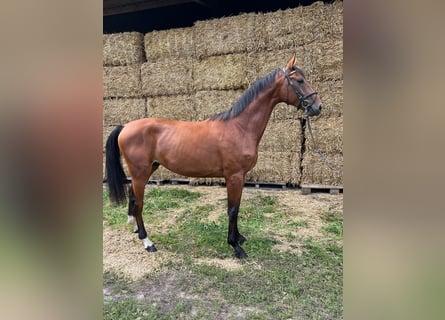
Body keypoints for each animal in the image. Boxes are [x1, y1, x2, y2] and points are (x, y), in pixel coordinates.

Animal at [106, 54, 320, 260]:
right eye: (300, 80)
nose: (318, 107)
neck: (239, 127)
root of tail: (125, 126)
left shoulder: (240, 177)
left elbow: (237, 207)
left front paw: (239, 238)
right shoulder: (234, 176)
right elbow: (232, 210)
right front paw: (235, 247)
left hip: (148, 169)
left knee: (133, 196)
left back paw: (135, 228)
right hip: (140, 173)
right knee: (139, 203)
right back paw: (147, 241)